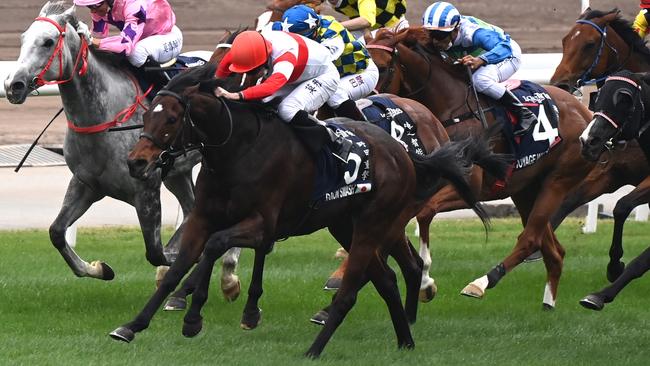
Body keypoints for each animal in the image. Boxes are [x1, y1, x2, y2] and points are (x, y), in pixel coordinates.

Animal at [5, 1, 240, 298]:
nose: (12, 85)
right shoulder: (86, 183)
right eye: (23, 38)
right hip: (178, 172)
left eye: (48, 42)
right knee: (191, 209)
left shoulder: (146, 187)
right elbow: (56, 232)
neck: (104, 117)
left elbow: (156, 252)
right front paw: (99, 268)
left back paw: (229, 276)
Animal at [107, 63, 506, 358]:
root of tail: (405, 152)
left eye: (172, 120)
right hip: (346, 226)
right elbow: (175, 270)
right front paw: (132, 325)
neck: (237, 149)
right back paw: (405, 340)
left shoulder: (262, 223)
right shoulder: (203, 217)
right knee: (388, 280)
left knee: (365, 284)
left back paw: (317, 348)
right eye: (147, 116)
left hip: (375, 224)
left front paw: (195, 317)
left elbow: (216, 246)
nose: (136, 162)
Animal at [362, 28, 596, 308]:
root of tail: (585, 112)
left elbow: (425, 213)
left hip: (558, 181)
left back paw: (481, 283)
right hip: (525, 189)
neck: (450, 109)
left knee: (529, 239)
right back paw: (548, 303)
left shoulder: (469, 187)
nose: (364, 108)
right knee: (552, 249)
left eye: (382, 67)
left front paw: (426, 279)